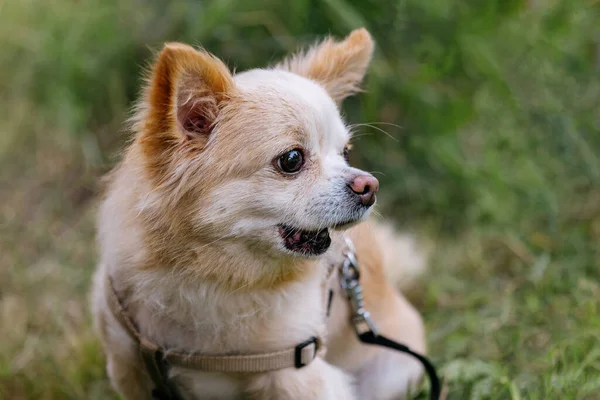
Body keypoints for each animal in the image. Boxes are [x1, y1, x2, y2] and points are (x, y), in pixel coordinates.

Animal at [91, 28, 426, 400]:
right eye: (292, 159)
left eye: (346, 153)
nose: (369, 185)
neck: (216, 276)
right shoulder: (127, 363)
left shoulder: (301, 374)